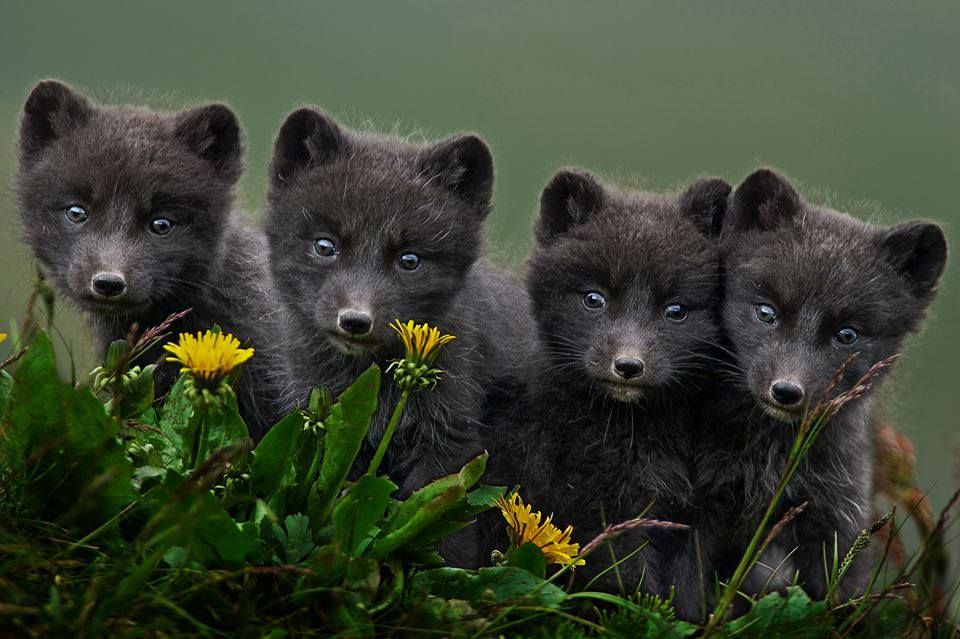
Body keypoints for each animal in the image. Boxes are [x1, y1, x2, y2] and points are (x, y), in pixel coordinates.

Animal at [487, 168, 732, 618]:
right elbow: (625, 576)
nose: (628, 365)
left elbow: (688, 583)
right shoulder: (594, 505)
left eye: (675, 310)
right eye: (593, 298)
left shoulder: (692, 513)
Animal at [697, 168, 948, 602]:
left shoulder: (837, 517)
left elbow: (834, 598)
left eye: (847, 335)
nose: (787, 391)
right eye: (767, 313)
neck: (769, 462)